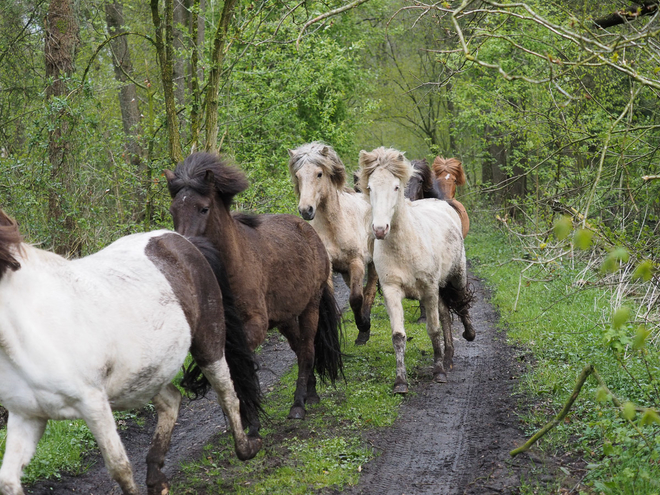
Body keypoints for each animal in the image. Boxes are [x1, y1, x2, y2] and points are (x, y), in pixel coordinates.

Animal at [0, 209, 262, 495]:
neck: (33, 326)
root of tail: (182, 240)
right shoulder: (28, 416)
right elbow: (8, 481)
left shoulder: (93, 405)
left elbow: (119, 467)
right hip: (149, 374)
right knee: (171, 401)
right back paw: (157, 480)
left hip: (208, 346)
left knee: (228, 396)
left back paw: (247, 447)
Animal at [165, 153, 342, 420]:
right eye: (173, 210)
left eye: (204, 208)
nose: (183, 251)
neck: (232, 268)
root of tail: (308, 230)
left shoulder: (255, 325)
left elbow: (235, 363)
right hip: (285, 318)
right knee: (299, 348)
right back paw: (310, 394)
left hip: (310, 307)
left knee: (307, 350)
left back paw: (299, 404)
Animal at [288, 142, 376, 344]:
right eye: (298, 175)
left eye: (319, 174)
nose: (306, 210)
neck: (334, 228)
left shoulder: (356, 262)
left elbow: (356, 298)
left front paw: (363, 325)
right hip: (345, 272)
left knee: (370, 289)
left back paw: (365, 328)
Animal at [356, 147, 474, 396]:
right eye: (370, 187)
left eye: (396, 187)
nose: (379, 229)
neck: (404, 246)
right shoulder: (391, 290)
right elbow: (398, 336)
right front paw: (400, 382)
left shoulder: (428, 289)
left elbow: (433, 329)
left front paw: (438, 373)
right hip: (439, 288)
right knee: (446, 313)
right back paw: (448, 357)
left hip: (455, 276)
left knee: (461, 302)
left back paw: (468, 335)